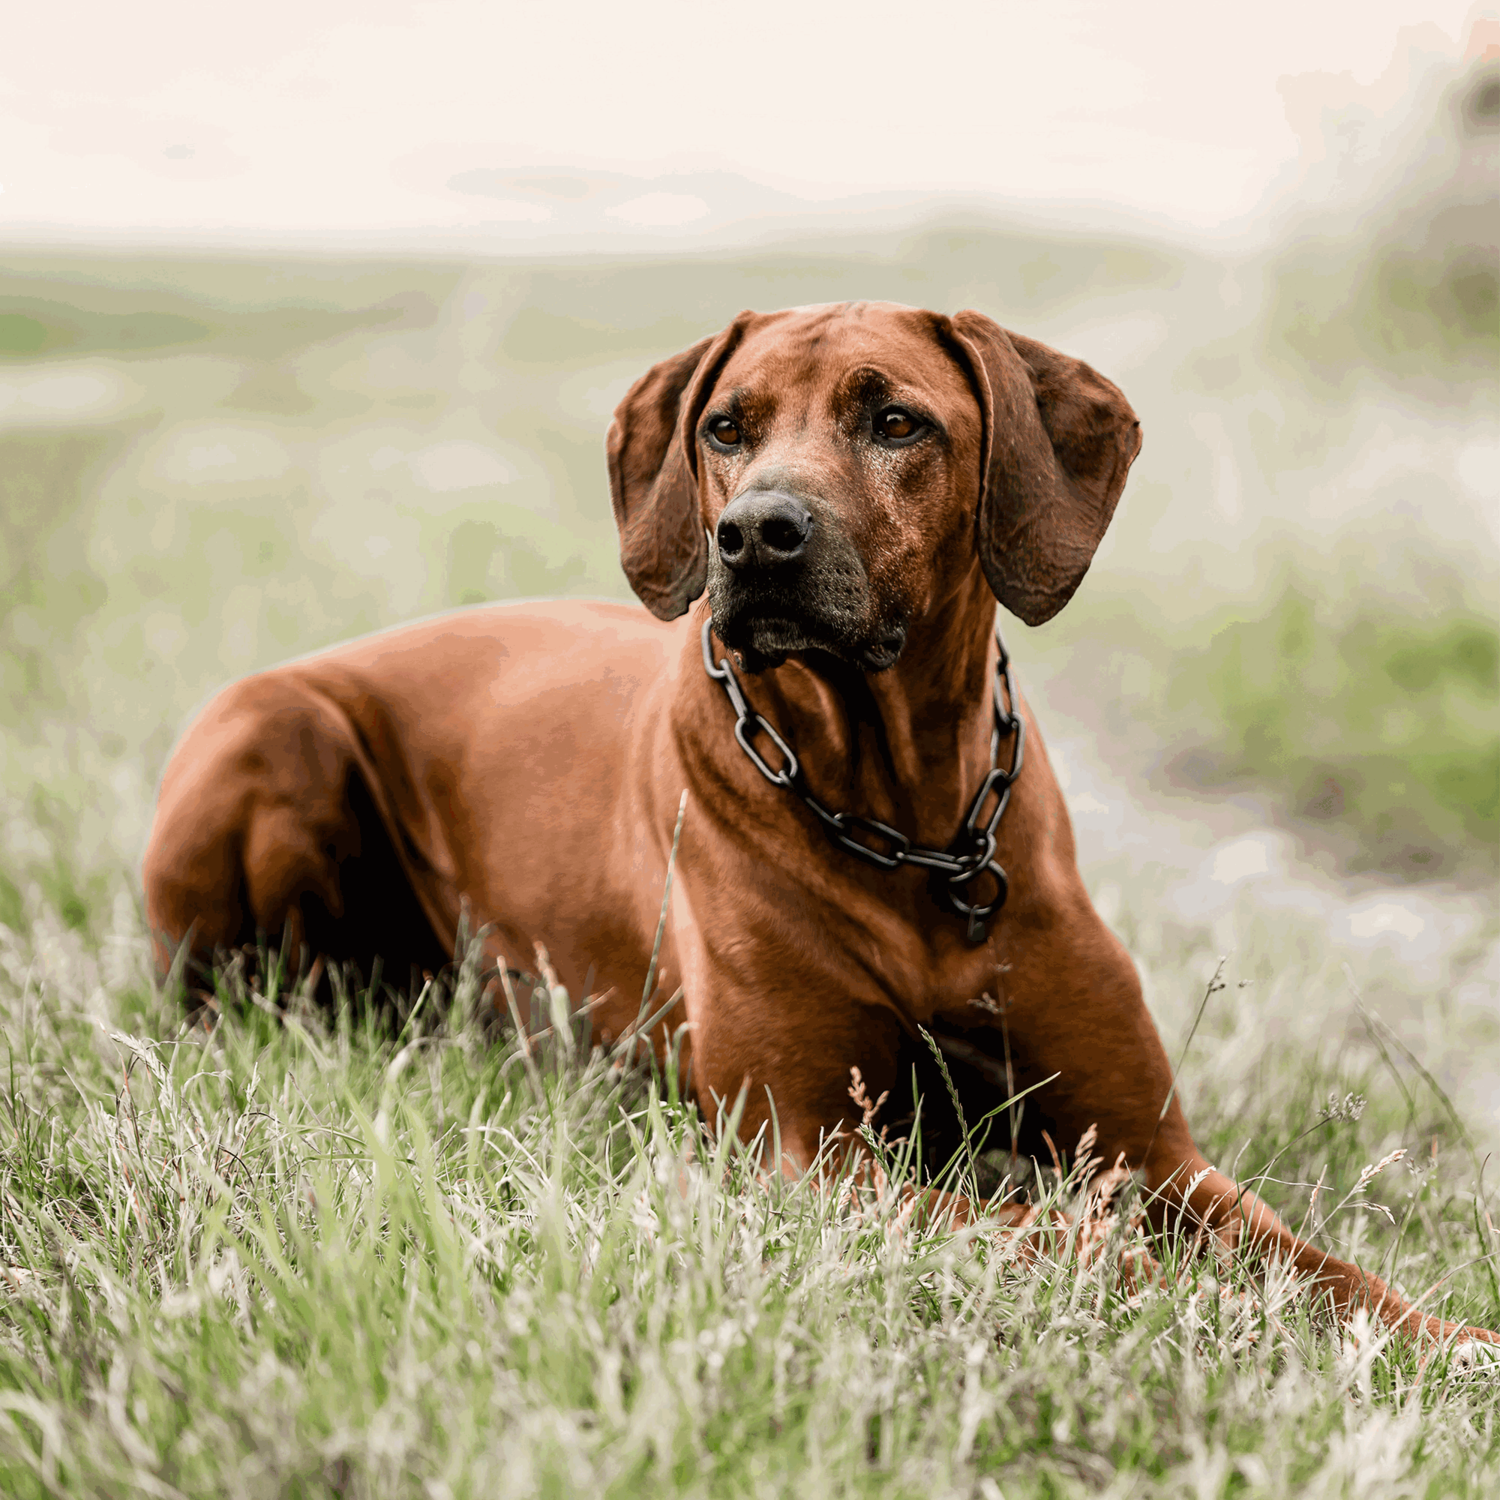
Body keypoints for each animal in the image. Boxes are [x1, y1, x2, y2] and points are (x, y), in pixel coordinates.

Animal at [143, 301, 1500, 1350]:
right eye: (725, 427)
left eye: (896, 420)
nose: (753, 534)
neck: (912, 820)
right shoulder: (811, 1154)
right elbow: (1070, 1238)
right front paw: (1180, 1294)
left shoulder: (1156, 1149)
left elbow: (1315, 1262)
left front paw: (1444, 1341)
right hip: (276, 730)